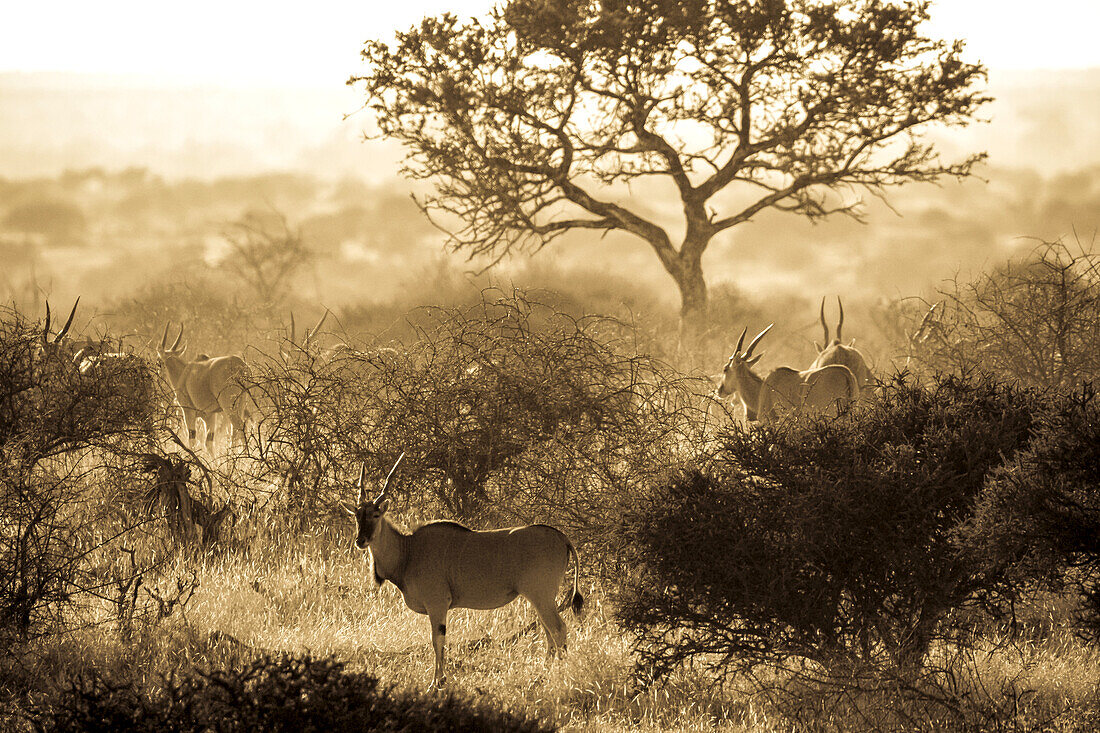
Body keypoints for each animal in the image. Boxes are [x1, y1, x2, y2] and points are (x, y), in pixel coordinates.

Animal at [156, 321, 251, 451]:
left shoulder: (188, 411)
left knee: (239, 426)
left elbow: (192, 440)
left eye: (158, 362)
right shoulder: (210, 415)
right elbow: (209, 443)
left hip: (228, 405)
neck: (184, 372)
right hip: (241, 403)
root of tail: (240, 365)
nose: (158, 376)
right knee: (236, 429)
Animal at [343, 453, 585, 686]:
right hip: (538, 598)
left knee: (558, 629)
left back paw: (559, 673)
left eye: (376, 515)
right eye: (357, 516)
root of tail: (562, 538)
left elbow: (437, 641)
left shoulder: (437, 605)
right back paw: (543, 674)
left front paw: (437, 683)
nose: (361, 540)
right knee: (549, 632)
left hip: (541, 596)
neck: (409, 550)